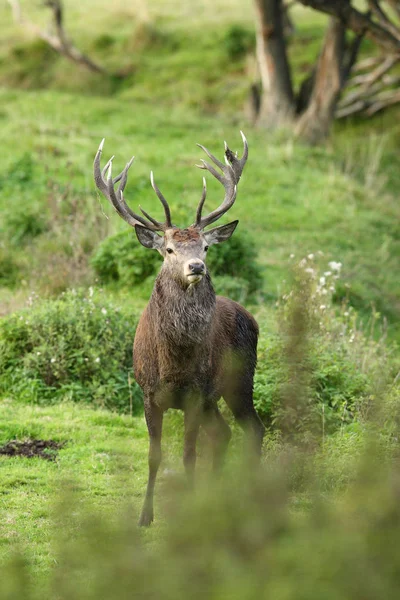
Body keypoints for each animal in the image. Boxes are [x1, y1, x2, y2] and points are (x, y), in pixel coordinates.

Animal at [94, 134, 266, 528]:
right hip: (215, 397)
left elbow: (188, 455)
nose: (196, 266)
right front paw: (145, 516)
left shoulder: (194, 394)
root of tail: (251, 317)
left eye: (204, 246)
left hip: (238, 380)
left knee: (253, 430)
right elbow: (155, 455)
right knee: (223, 434)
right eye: (169, 249)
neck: (174, 364)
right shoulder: (148, 392)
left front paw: (187, 513)